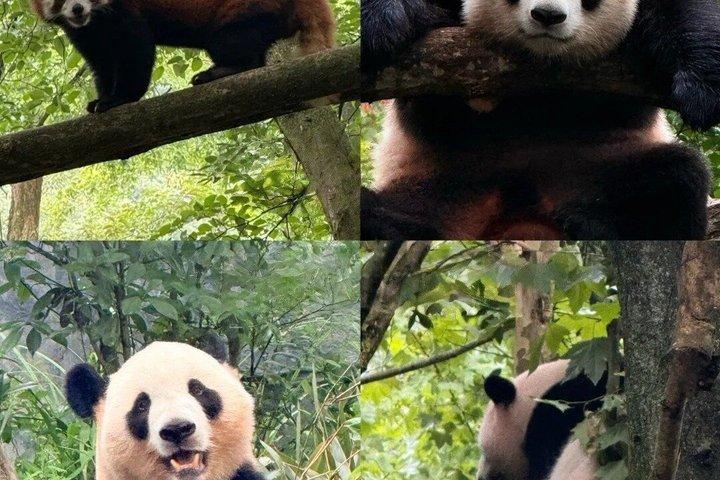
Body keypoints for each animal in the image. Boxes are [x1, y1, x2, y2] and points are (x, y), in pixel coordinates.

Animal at [31, 0, 335, 113]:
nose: (78, 8)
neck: (95, 20)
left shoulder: (126, 13)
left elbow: (136, 54)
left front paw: (119, 99)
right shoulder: (86, 33)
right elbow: (102, 64)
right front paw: (102, 98)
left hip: (246, 11)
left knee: (232, 45)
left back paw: (220, 72)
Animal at [360, 0, 720, 240]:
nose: (548, 15)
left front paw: (701, 91)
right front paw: (382, 29)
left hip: (596, 167)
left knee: (678, 177)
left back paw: (587, 223)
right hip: (437, 187)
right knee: (375, 215)